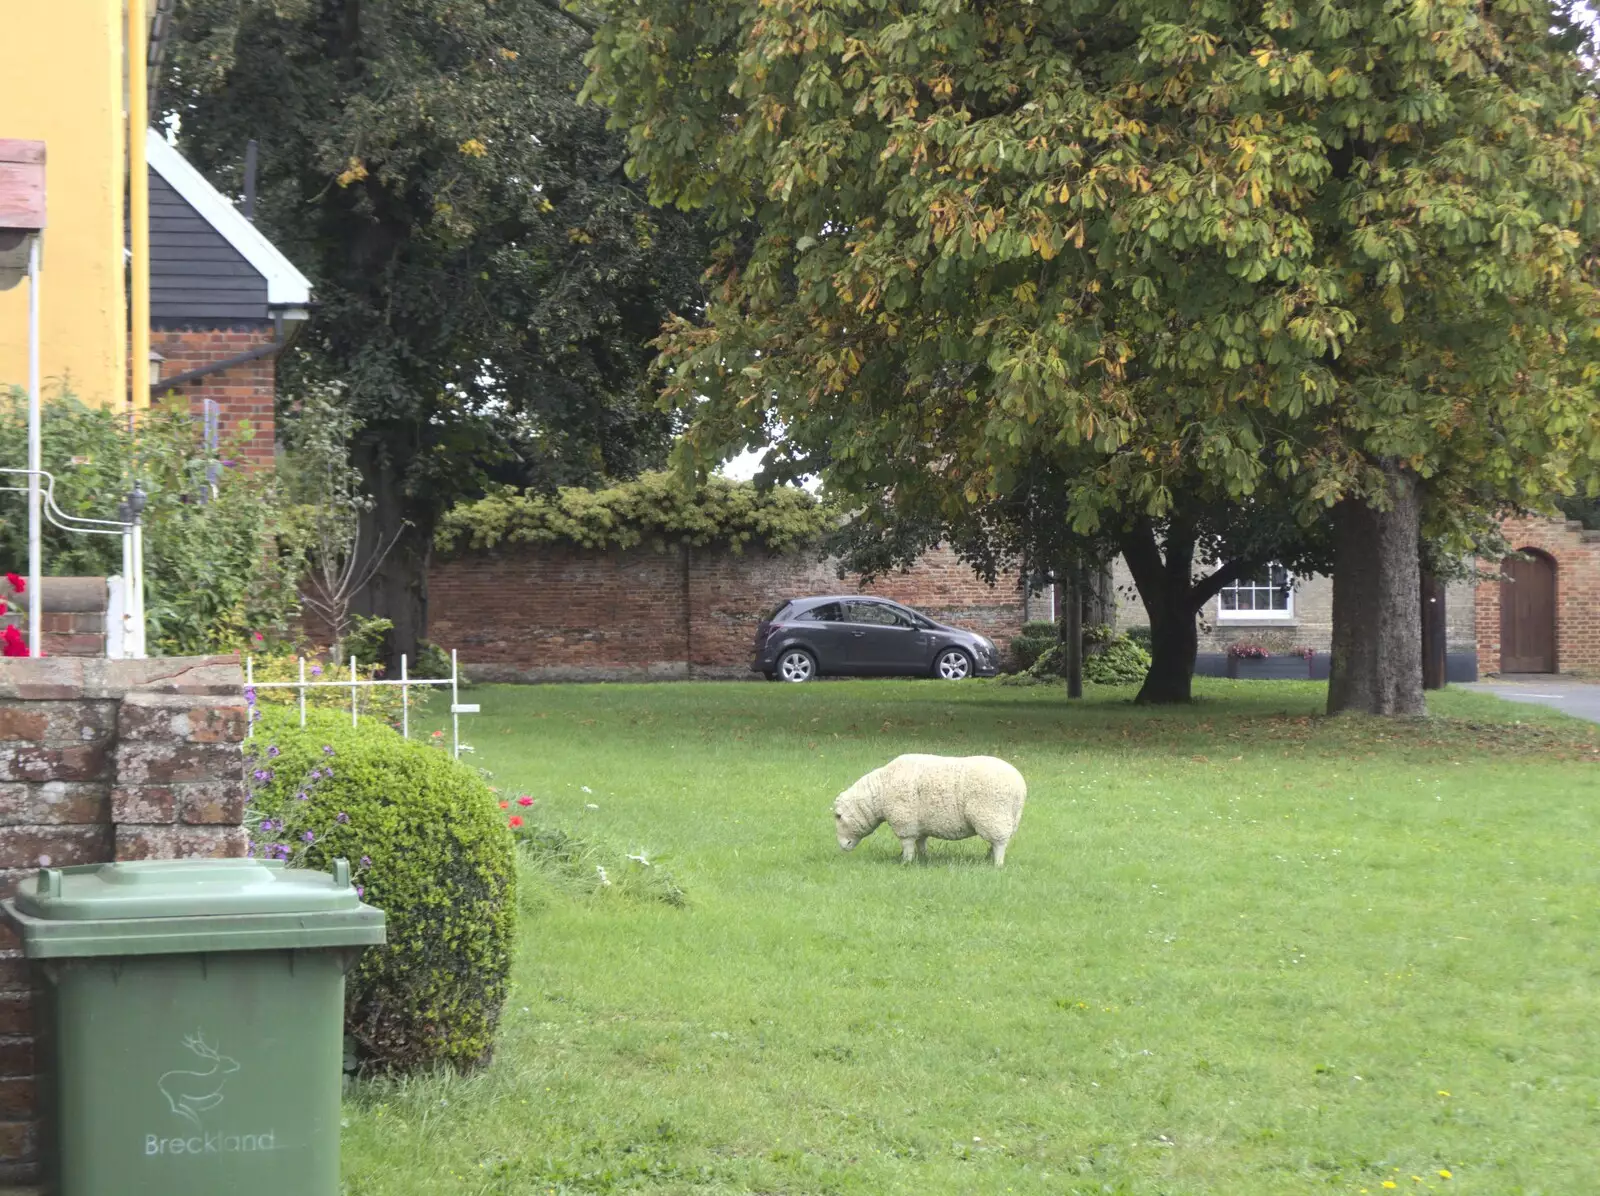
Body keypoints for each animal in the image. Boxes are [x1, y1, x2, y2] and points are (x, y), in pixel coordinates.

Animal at [838, 757, 1024, 869]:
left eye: (838, 816)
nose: (843, 846)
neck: (881, 789)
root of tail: (1020, 786)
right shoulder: (918, 825)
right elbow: (921, 842)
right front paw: (924, 858)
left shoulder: (905, 823)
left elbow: (907, 845)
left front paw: (906, 863)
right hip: (1007, 820)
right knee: (996, 842)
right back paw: (988, 859)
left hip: (993, 816)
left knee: (999, 844)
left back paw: (997, 865)